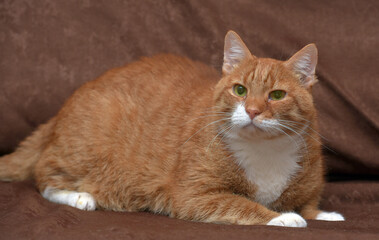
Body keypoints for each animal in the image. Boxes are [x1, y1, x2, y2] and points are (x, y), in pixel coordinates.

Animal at [0, 30, 344, 227]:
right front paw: (284, 217)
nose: (253, 111)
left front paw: (324, 215)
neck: (264, 151)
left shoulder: (307, 187)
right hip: (82, 150)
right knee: (45, 176)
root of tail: (63, 108)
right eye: (241, 90)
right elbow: (243, 204)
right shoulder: (194, 195)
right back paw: (80, 197)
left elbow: (309, 205)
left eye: (277, 95)